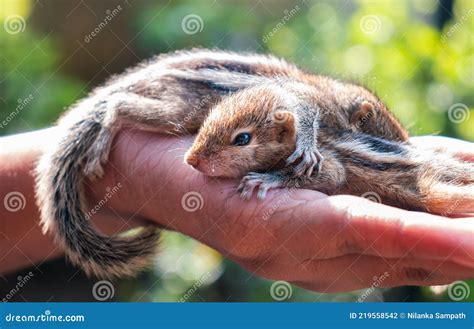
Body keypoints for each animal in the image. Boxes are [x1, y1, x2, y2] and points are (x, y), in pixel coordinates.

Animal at [36, 48, 470, 278]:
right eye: (380, 121)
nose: (404, 143)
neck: (331, 100)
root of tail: (149, 73)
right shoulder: (307, 107)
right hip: (178, 109)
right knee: (119, 106)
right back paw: (105, 132)